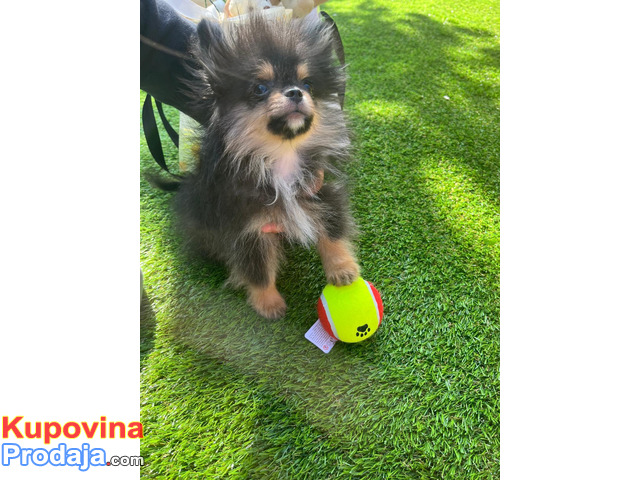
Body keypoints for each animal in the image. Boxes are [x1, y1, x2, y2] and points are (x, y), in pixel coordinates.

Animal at [153, 14, 360, 319]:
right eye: (260, 88)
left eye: (308, 84)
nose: (295, 92)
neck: (280, 156)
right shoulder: (247, 228)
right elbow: (257, 269)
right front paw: (268, 303)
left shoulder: (319, 189)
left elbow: (333, 230)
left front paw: (342, 268)